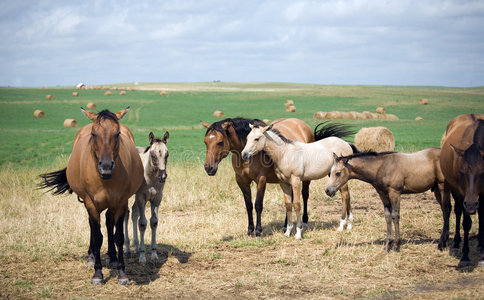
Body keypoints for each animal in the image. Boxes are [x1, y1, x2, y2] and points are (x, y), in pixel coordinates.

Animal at [40, 107, 143, 284]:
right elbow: (97, 237)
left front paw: (122, 273)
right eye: (94, 134)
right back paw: (91, 257)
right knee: (92, 227)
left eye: (117, 133)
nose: (106, 167)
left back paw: (113, 257)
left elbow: (118, 236)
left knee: (108, 223)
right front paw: (97, 273)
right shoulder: (91, 204)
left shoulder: (121, 203)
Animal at [124, 131, 169, 262]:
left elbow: (154, 222)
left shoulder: (157, 199)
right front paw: (143, 257)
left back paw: (136, 247)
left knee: (134, 212)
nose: (162, 177)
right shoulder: (141, 198)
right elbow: (142, 223)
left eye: (167, 155)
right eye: (153, 155)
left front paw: (154, 254)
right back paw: (127, 249)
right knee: (126, 214)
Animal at [440, 113, 482, 268]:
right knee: (456, 211)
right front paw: (465, 256)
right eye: (462, 172)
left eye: (482, 172)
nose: (470, 205)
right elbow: (466, 222)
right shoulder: (461, 193)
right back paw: (457, 244)